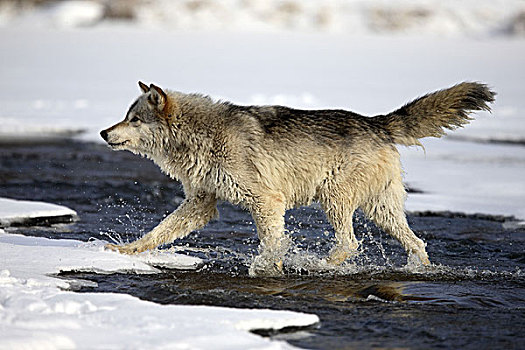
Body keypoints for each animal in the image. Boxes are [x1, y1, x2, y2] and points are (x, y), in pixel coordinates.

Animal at [101, 82, 496, 276]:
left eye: (134, 120)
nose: (104, 132)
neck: (200, 135)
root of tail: (376, 122)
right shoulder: (201, 204)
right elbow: (157, 232)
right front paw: (123, 251)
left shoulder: (266, 202)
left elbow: (273, 243)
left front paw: (268, 268)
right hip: (380, 211)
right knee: (417, 242)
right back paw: (419, 270)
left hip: (335, 200)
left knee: (350, 243)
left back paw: (318, 265)